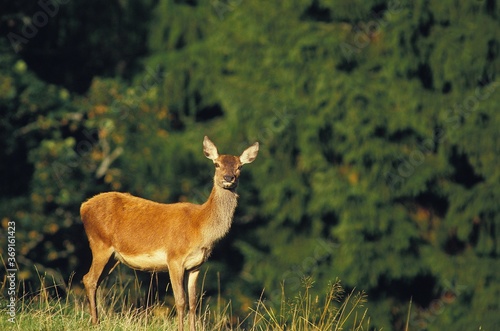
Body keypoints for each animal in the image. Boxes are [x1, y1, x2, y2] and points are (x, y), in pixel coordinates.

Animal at [80, 136, 260, 330]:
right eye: (217, 164)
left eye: (239, 166)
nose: (229, 178)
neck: (200, 226)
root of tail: (83, 206)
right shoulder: (174, 258)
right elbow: (180, 301)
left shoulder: (196, 266)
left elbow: (193, 302)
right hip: (100, 243)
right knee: (89, 279)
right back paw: (95, 323)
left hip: (114, 256)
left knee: (94, 280)